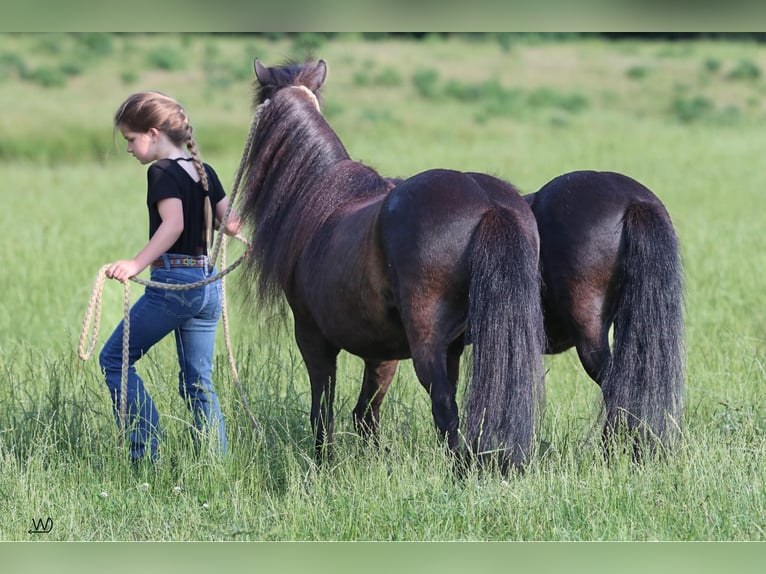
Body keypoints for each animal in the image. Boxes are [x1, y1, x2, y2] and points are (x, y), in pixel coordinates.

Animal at [242, 58, 544, 470]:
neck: (319, 195)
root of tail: (488, 203)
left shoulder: (312, 336)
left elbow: (324, 410)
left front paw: (323, 465)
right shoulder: (381, 351)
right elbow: (365, 414)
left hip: (427, 343)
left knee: (445, 408)